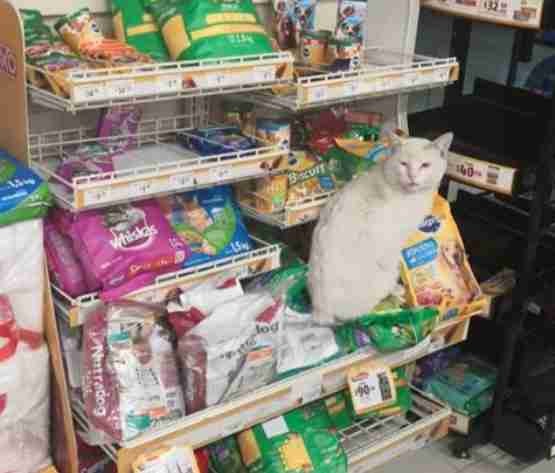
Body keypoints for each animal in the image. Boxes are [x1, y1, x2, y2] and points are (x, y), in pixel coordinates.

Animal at [306, 132, 454, 324]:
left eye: (425, 165)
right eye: (403, 164)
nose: (412, 177)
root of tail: (320, 309)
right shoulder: (392, 241)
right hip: (384, 274)